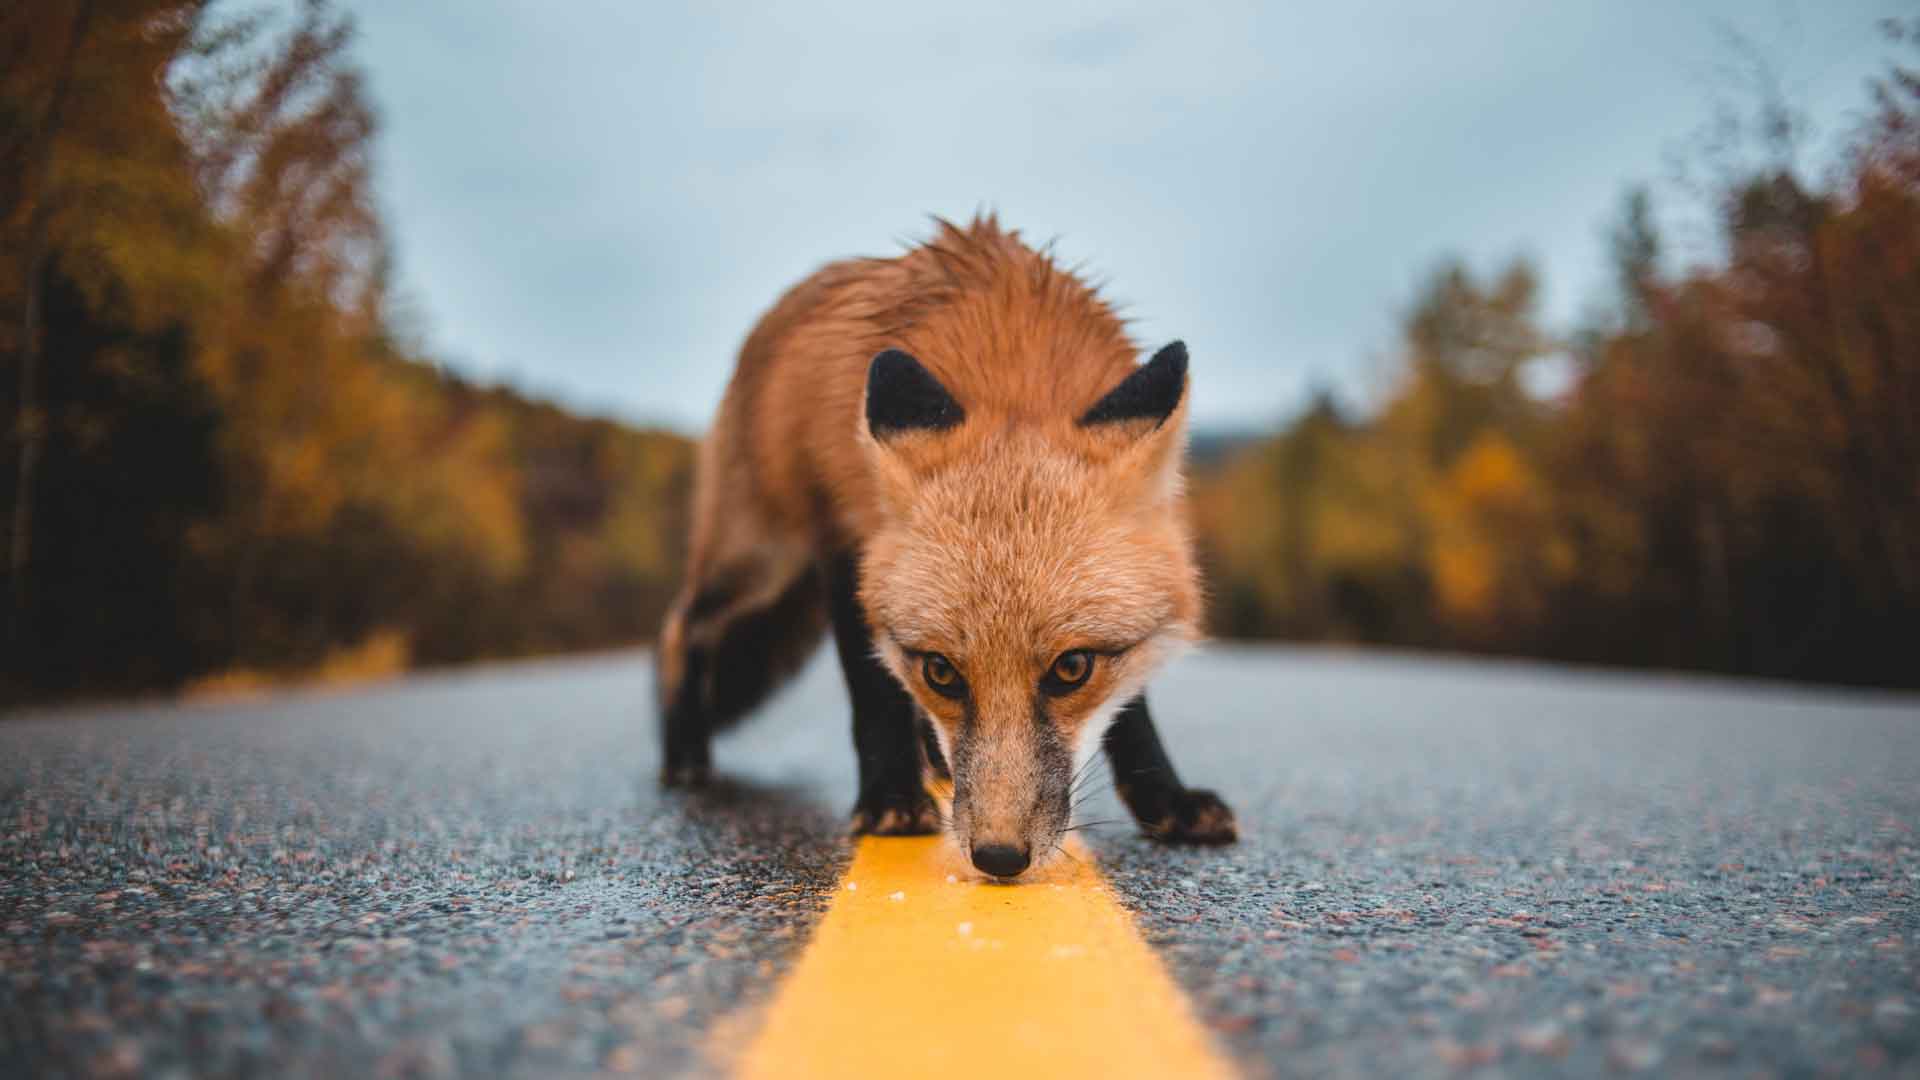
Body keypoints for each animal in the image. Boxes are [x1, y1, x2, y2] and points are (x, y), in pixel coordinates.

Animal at [652, 212, 1236, 876]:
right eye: (942, 672)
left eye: (1072, 669)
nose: (1000, 857)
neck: (1011, 364)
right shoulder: (845, 544)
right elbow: (873, 690)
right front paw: (889, 799)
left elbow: (1132, 710)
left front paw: (1165, 799)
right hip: (761, 560)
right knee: (681, 625)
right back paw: (684, 752)